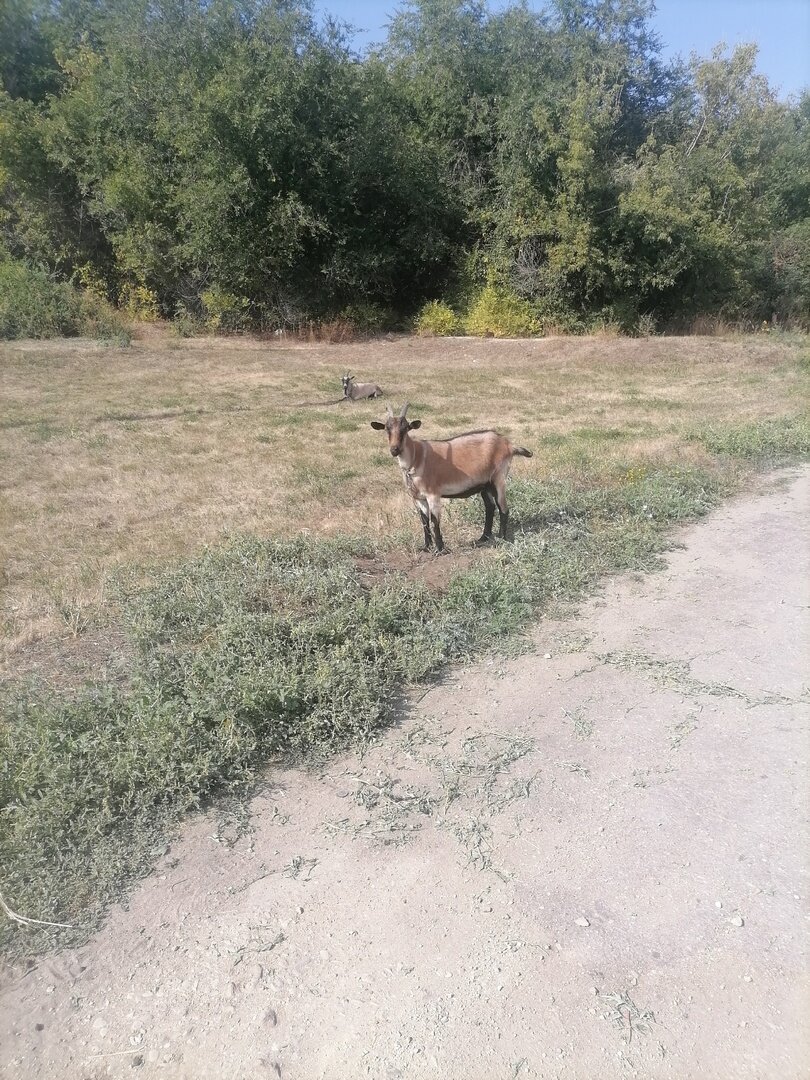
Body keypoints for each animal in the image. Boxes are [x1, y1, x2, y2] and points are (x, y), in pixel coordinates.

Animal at [373, 406, 535, 557]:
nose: (394, 449)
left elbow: (434, 521)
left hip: (499, 479)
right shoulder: (418, 498)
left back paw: (501, 538)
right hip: (485, 485)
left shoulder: (433, 495)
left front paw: (440, 549)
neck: (416, 457)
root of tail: (509, 445)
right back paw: (483, 537)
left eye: (406, 428)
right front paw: (426, 547)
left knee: (503, 508)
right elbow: (424, 521)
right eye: (387, 428)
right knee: (490, 507)